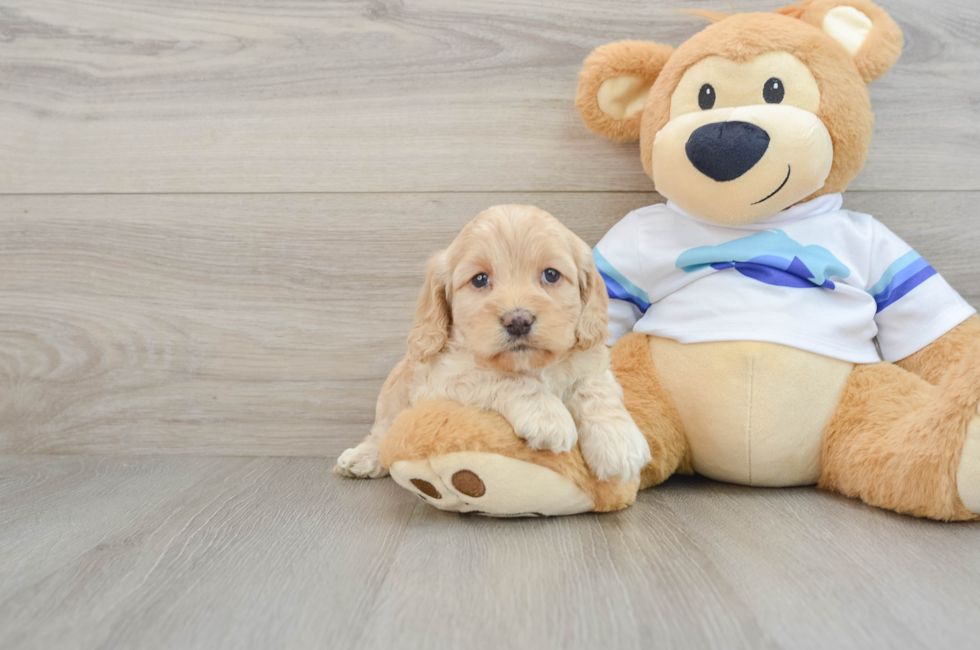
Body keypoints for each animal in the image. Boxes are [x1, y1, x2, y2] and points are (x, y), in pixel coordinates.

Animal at [334, 205, 652, 484]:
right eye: (479, 279)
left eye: (551, 274)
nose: (518, 321)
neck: (531, 366)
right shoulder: (443, 380)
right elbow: (503, 378)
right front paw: (547, 416)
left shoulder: (592, 362)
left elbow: (597, 390)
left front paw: (619, 442)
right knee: (382, 432)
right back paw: (363, 458)